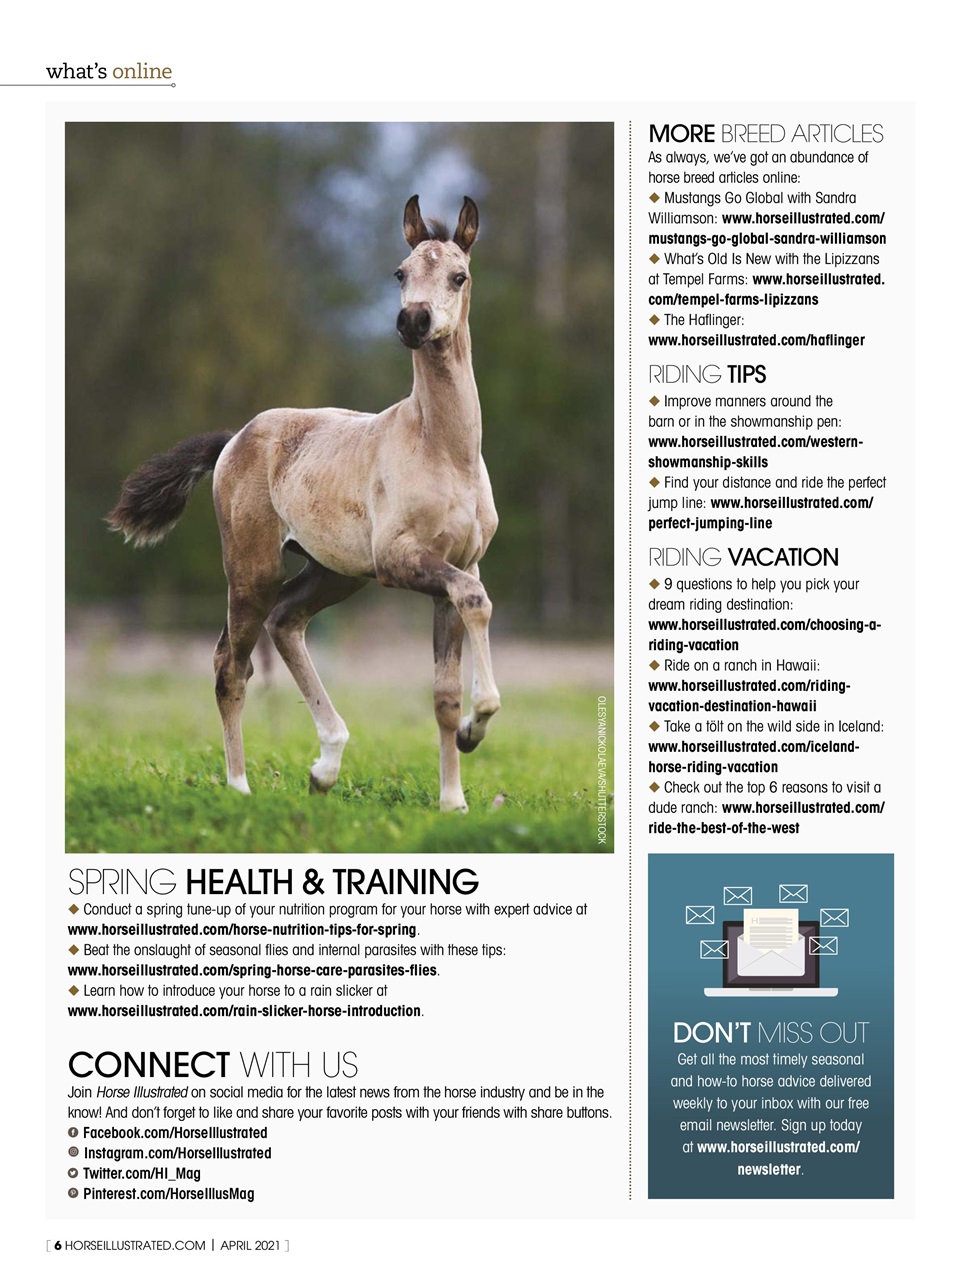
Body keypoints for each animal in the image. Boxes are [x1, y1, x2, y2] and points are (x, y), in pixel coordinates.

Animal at [107, 195, 499, 813]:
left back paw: (325, 766)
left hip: (333, 572)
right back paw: (240, 786)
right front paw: (476, 729)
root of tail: (236, 438)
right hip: (254, 569)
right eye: (401, 273)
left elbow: (444, 691)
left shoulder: (457, 566)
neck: (442, 449)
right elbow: (476, 602)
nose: (413, 321)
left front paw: (454, 798)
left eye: (458, 276)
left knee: (285, 621)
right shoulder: (401, 562)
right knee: (231, 664)